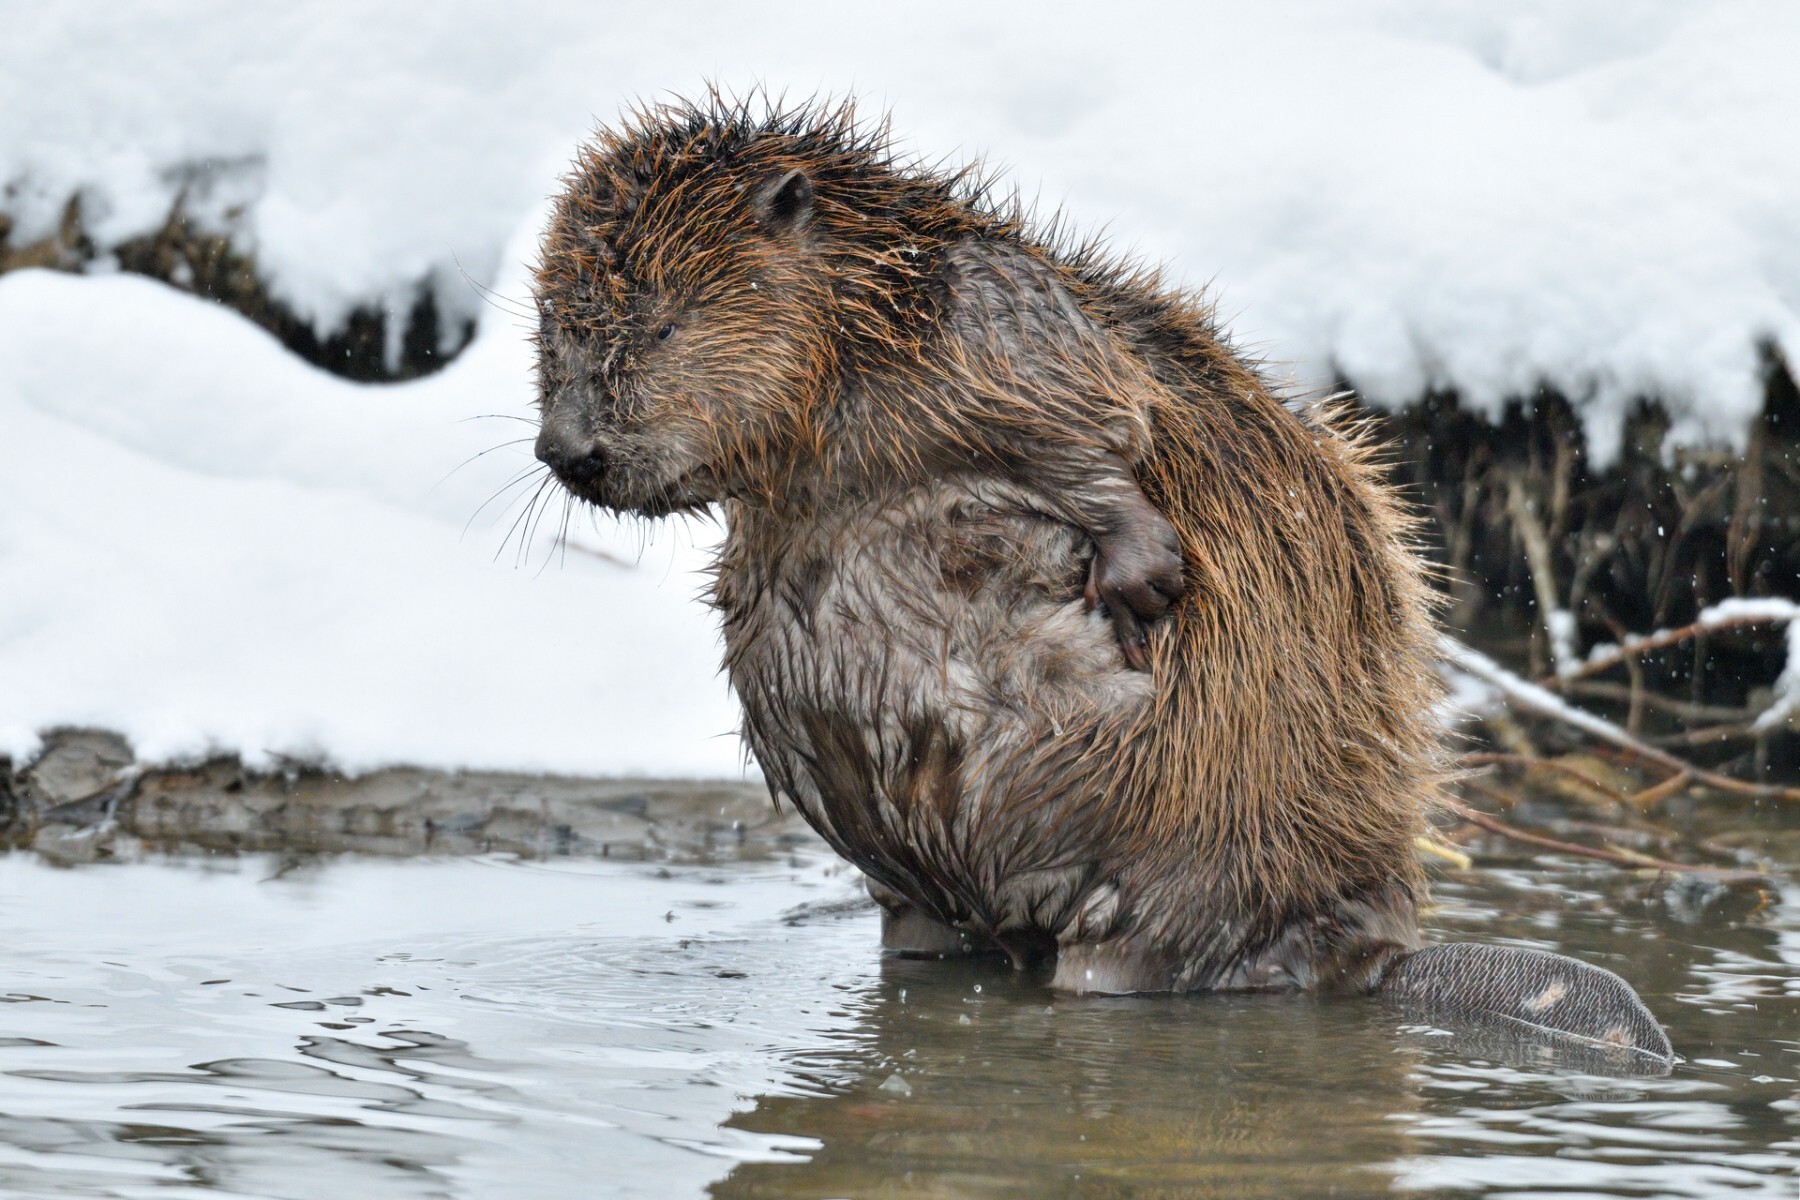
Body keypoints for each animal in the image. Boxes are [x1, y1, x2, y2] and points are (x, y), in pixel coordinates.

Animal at [525, 94, 1670, 1072]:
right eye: (553, 329)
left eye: (661, 323)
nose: (570, 451)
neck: (860, 339)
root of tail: (1374, 962)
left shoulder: (982, 313)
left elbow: (1094, 414)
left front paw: (1141, 573)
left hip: (1184, 871)